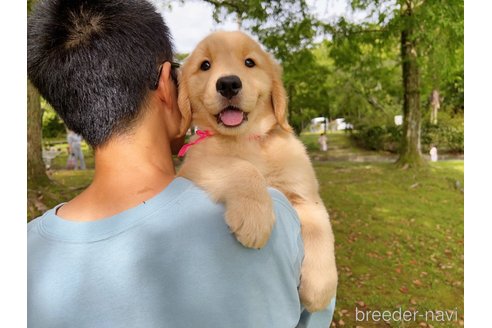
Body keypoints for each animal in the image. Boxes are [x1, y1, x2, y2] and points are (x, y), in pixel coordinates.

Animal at [175, 31, 336, 312]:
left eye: (249, 62)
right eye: (205, 65)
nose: (228, 84)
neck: (247, 139)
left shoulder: (304, 195)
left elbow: (321, 231)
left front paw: (320, 288)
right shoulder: (196, 162)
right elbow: (243, 167)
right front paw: (254, 216)